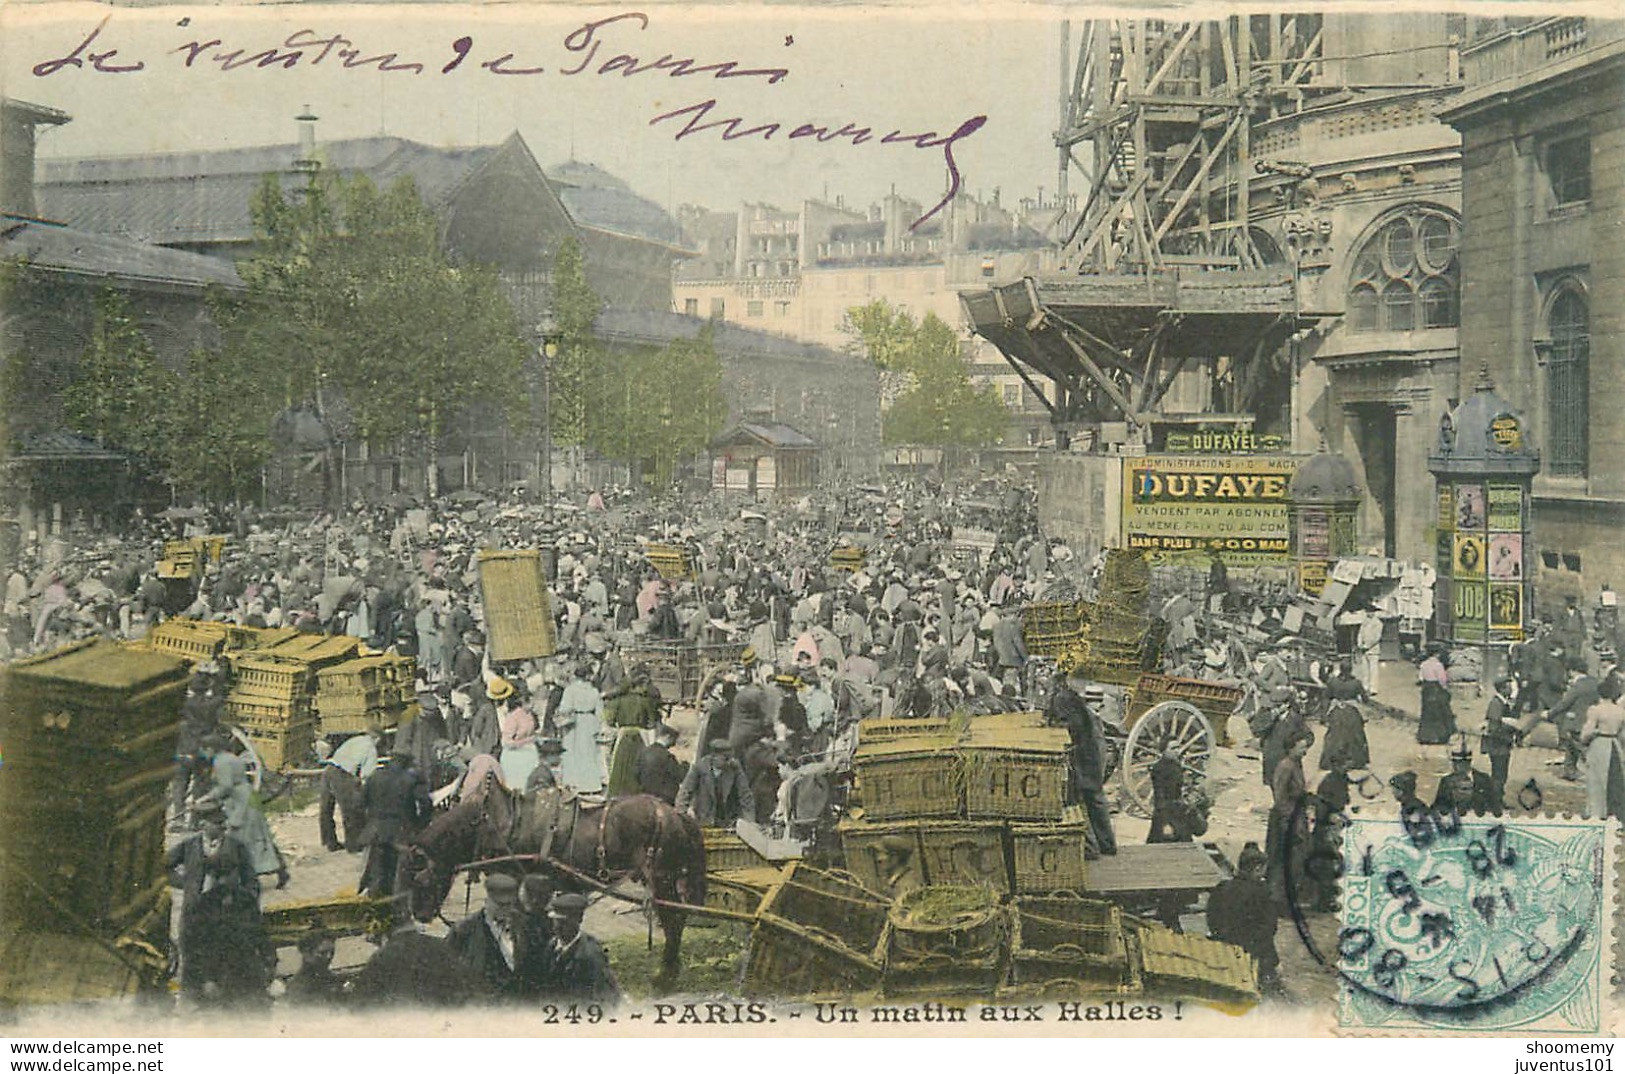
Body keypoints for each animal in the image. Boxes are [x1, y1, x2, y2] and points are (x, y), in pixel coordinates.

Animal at [399, 779, 705, 987]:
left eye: (419, 877)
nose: (419, 915)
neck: (495, 821)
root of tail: (676, 814)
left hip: (662, 879)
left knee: (674, 921)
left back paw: (665, 976)